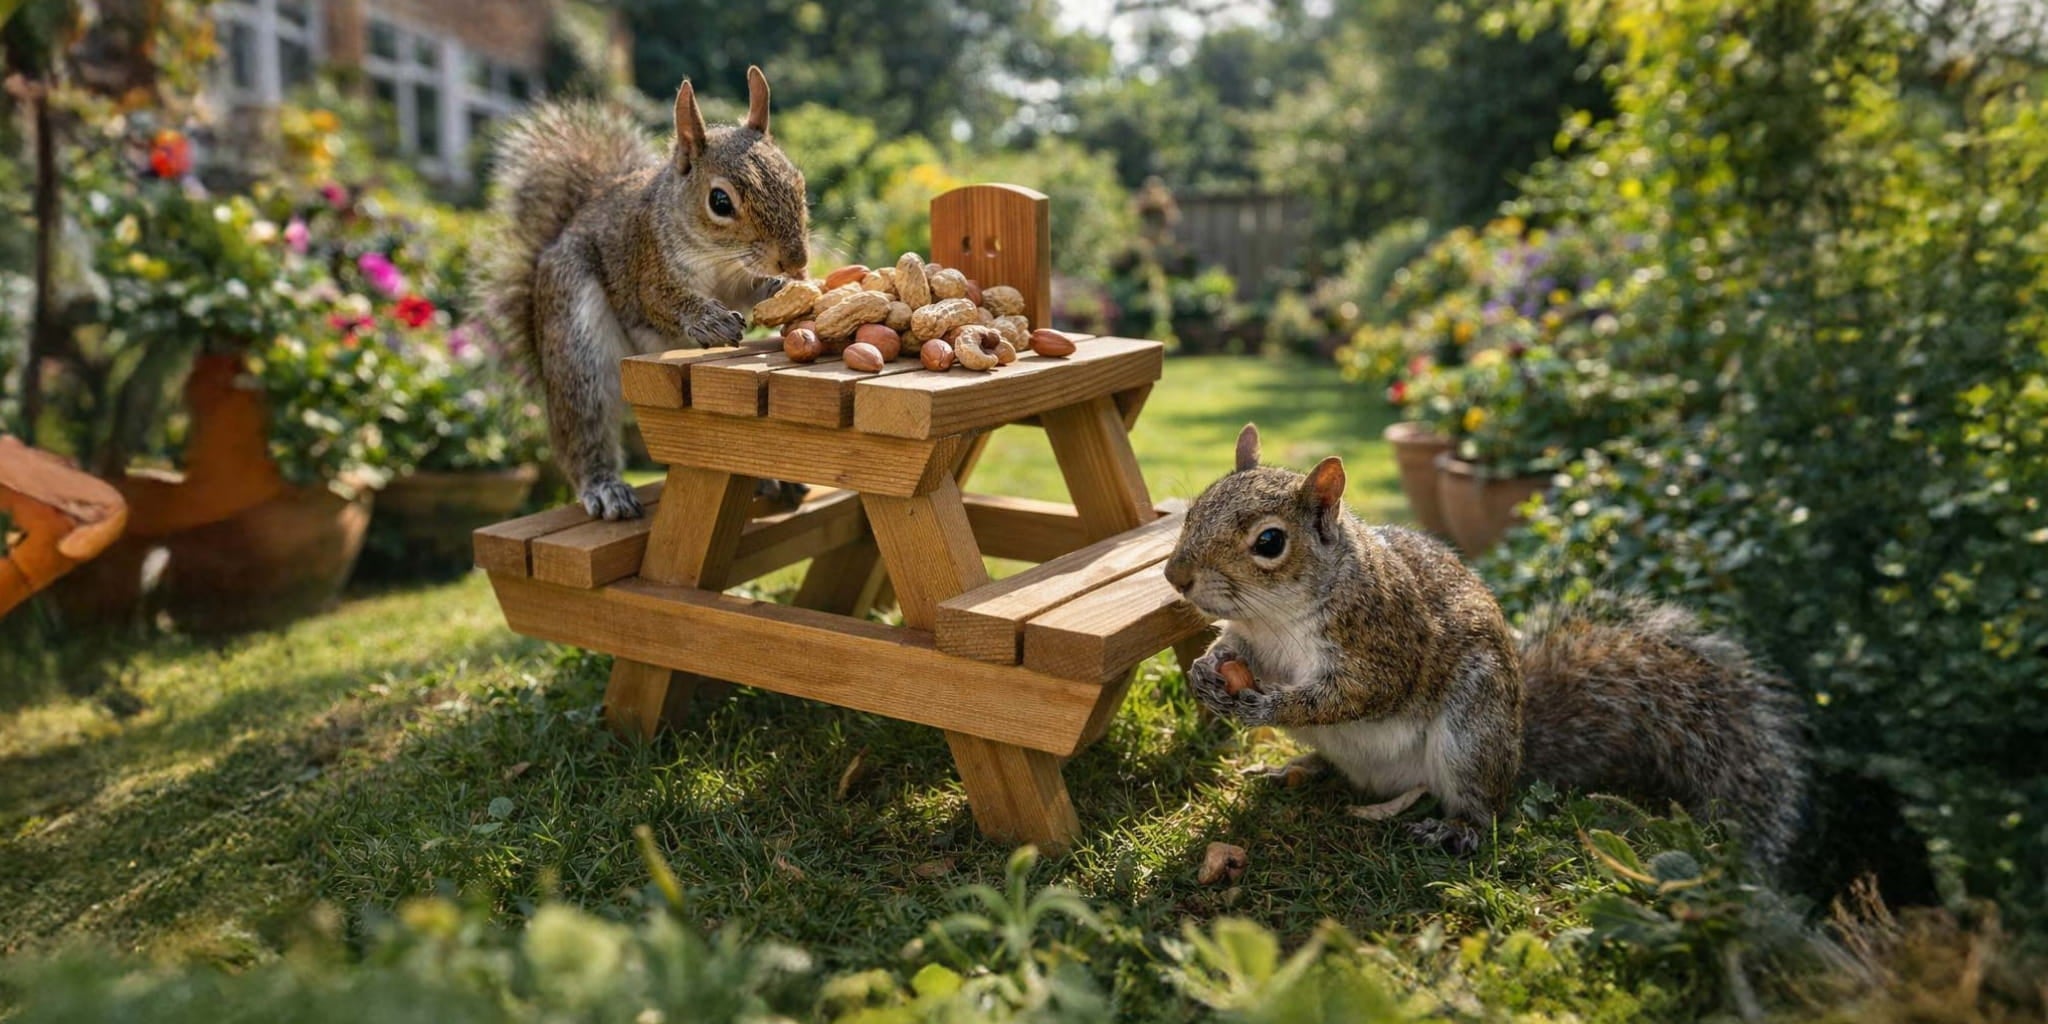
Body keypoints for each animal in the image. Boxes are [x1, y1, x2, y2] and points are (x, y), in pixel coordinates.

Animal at [479, 67, 810, 520]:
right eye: (720, 201)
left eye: (798, 183)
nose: (796, 260)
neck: (719, 260)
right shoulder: (646, 266)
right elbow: (660, 300)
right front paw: (708, 319)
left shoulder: (738, 279)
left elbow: (755, 292)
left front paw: (785, 288)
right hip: (575, 343)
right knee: (583, 429)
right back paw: (604, 487)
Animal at [1163, 424, 1806, 870]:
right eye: (1195, 508)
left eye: (1270, 542)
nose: (1175, 576)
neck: (1276, 620)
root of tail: (1519, 748)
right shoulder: (1254, 640)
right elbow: (1232, 649)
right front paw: (1205, 670)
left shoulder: (1382, 637)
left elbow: (1352, 694)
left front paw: (1267, 706)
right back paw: (1296, 767)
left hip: (1473, 731)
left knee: (1485, 806)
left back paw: (1457, 827)